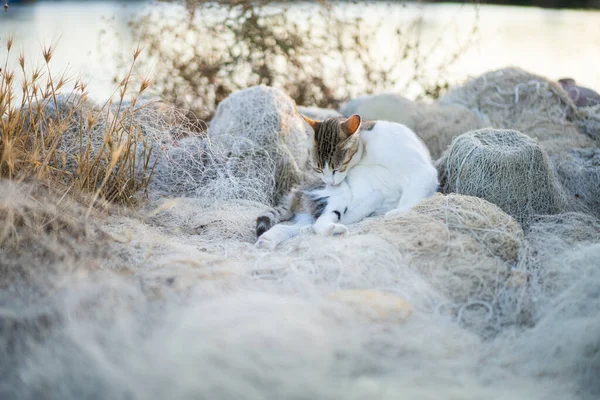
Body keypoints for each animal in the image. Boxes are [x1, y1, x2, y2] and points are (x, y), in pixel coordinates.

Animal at [255, 114, 438, 248]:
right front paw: (399, 213)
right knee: (319, 223)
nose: (329, 182)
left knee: (293, 226)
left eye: (337, 169)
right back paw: (333, 230)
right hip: (336, 196)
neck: (367, 151)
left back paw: (268, 240)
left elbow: (411, 194)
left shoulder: (421, 171)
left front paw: (399, 211)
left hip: (312, 213)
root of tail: (296, 191)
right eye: (318, 169)